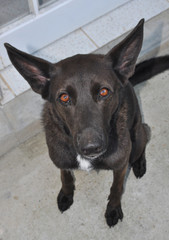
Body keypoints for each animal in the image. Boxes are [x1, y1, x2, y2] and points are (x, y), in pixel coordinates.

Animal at [4, 19, 169, 227]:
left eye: (104, 92)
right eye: (64, 97)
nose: (91, 148)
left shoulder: (120, 165)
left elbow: (116, 188)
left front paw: (113, 209)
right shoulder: (60, 159)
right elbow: (65, 176)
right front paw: (66, 194)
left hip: (137, 135)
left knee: (145, 136)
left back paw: (139, 163)